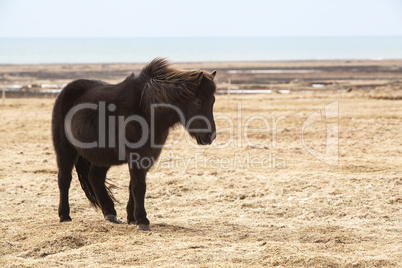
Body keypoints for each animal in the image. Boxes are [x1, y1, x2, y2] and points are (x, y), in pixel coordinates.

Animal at [52, 58, 218, 230]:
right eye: (198, 101)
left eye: (212, 101)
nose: (210, 136)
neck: (147, 110)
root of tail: (66, 91)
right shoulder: (136, 155)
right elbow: (139, 186)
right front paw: (143, 221)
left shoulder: (148, 156)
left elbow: (133, 185)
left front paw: (132, 218)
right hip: (65, 150)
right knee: (64, 179)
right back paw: (65, 216)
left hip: (102, 156)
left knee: (95, 177)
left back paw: (110, 213)